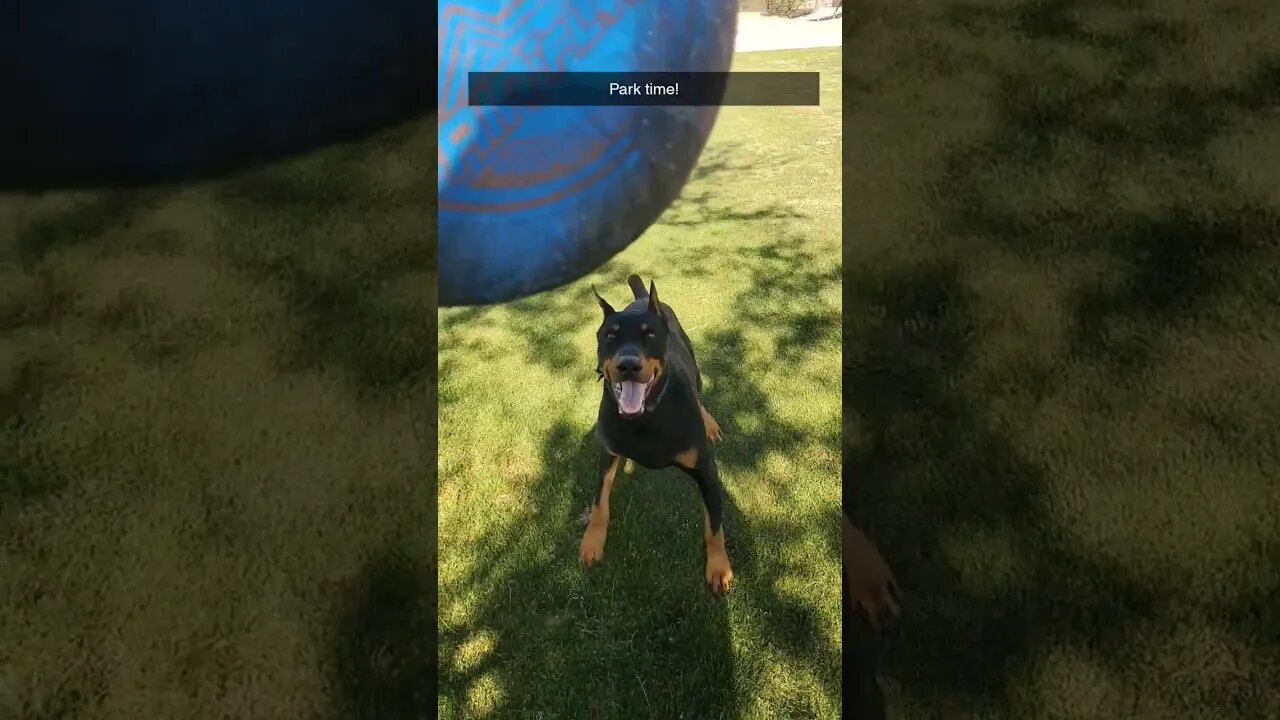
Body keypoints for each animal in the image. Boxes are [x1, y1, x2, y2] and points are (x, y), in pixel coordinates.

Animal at [581, 272, 732, 594]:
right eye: (609, 336)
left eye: (649, 334)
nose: (628, 365)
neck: (645, 417)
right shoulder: (608, 453)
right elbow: (600, 499)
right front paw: (592, 542)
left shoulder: (705, 469)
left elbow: (714, 524)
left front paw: (719, 568)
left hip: (693, 363)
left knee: (699, 393)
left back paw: (710, 423)